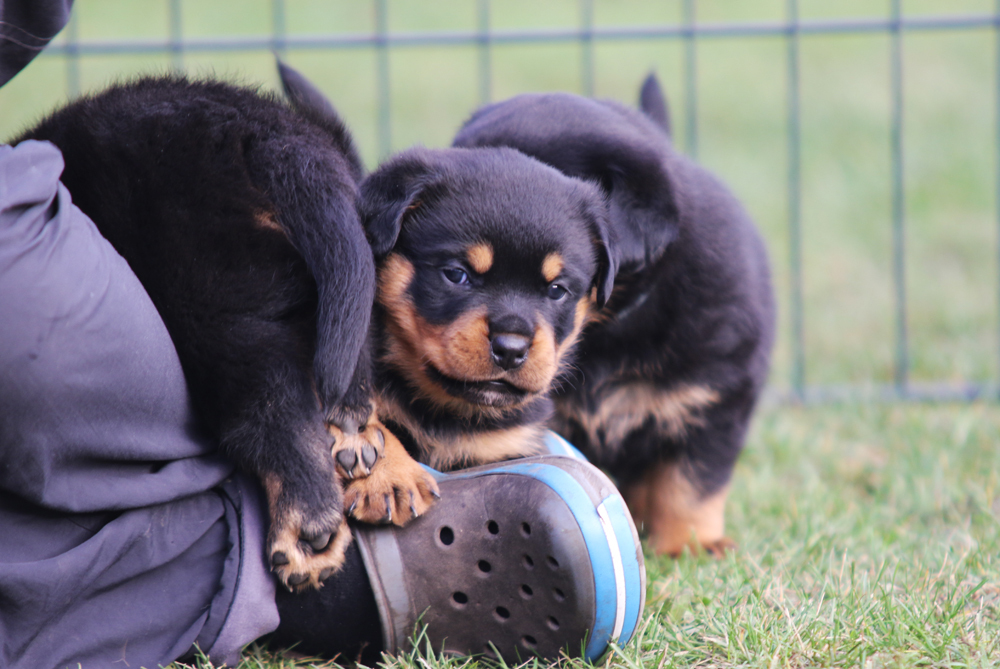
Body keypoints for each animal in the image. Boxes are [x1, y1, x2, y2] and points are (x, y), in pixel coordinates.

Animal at [14, 70, 438, 591]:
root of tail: (267, 134)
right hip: (343, 290)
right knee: (346, 374)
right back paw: (352, 438)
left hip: (207, 301)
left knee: (271, 413)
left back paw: (304, 530)